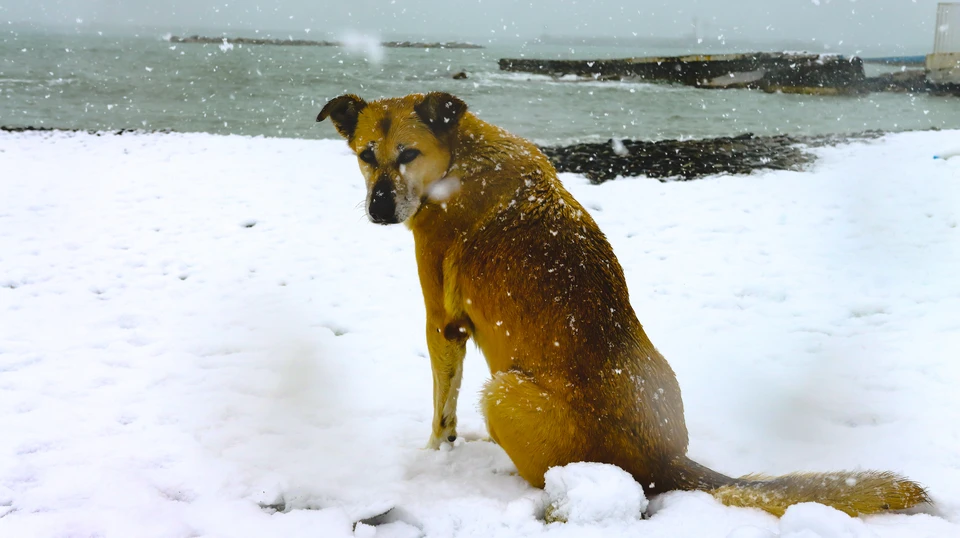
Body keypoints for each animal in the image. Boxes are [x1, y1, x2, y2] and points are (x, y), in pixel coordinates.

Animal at [316, 92, 928, 516]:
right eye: (366, 155)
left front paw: (434, 455)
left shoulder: (442, 325)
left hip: (505, 392)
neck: (457, 157)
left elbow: (441, 407)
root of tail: (667, 463)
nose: (377, 209)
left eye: (408, 153)